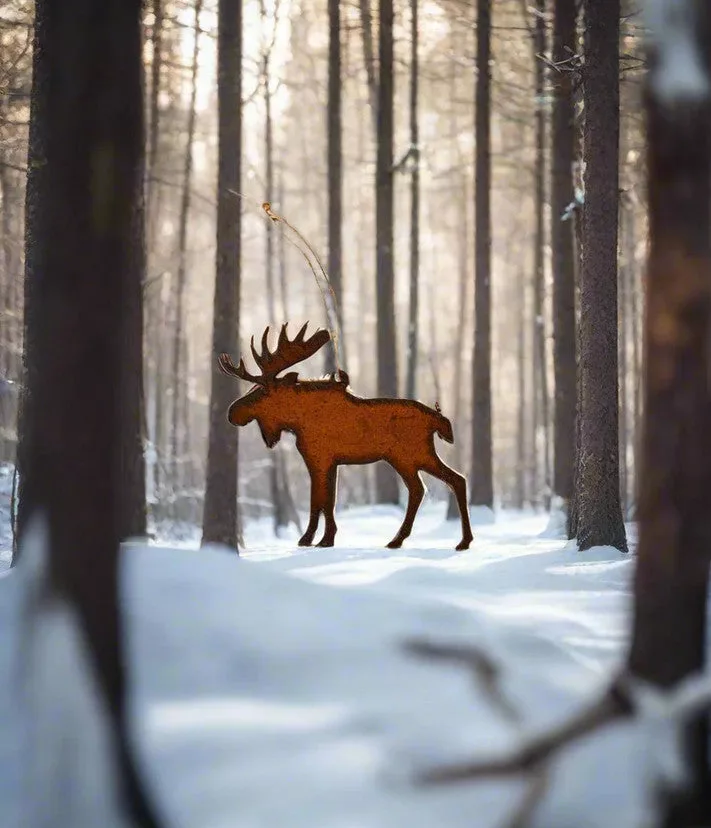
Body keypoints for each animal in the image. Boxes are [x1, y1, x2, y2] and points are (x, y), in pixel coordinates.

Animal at [219, 323, 474, 550]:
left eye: (261, 391)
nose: (232, 412)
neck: (297, 421)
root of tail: (437, 418)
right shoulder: (331, 462)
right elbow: (326, 500)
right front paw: (323, 539)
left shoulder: (319, 458)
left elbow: (319, 500)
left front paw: (313, 539)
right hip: (410, 458)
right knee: (439, 484)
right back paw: (420, 540)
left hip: (411, 455)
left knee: (439, 484)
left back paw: (449, 541)